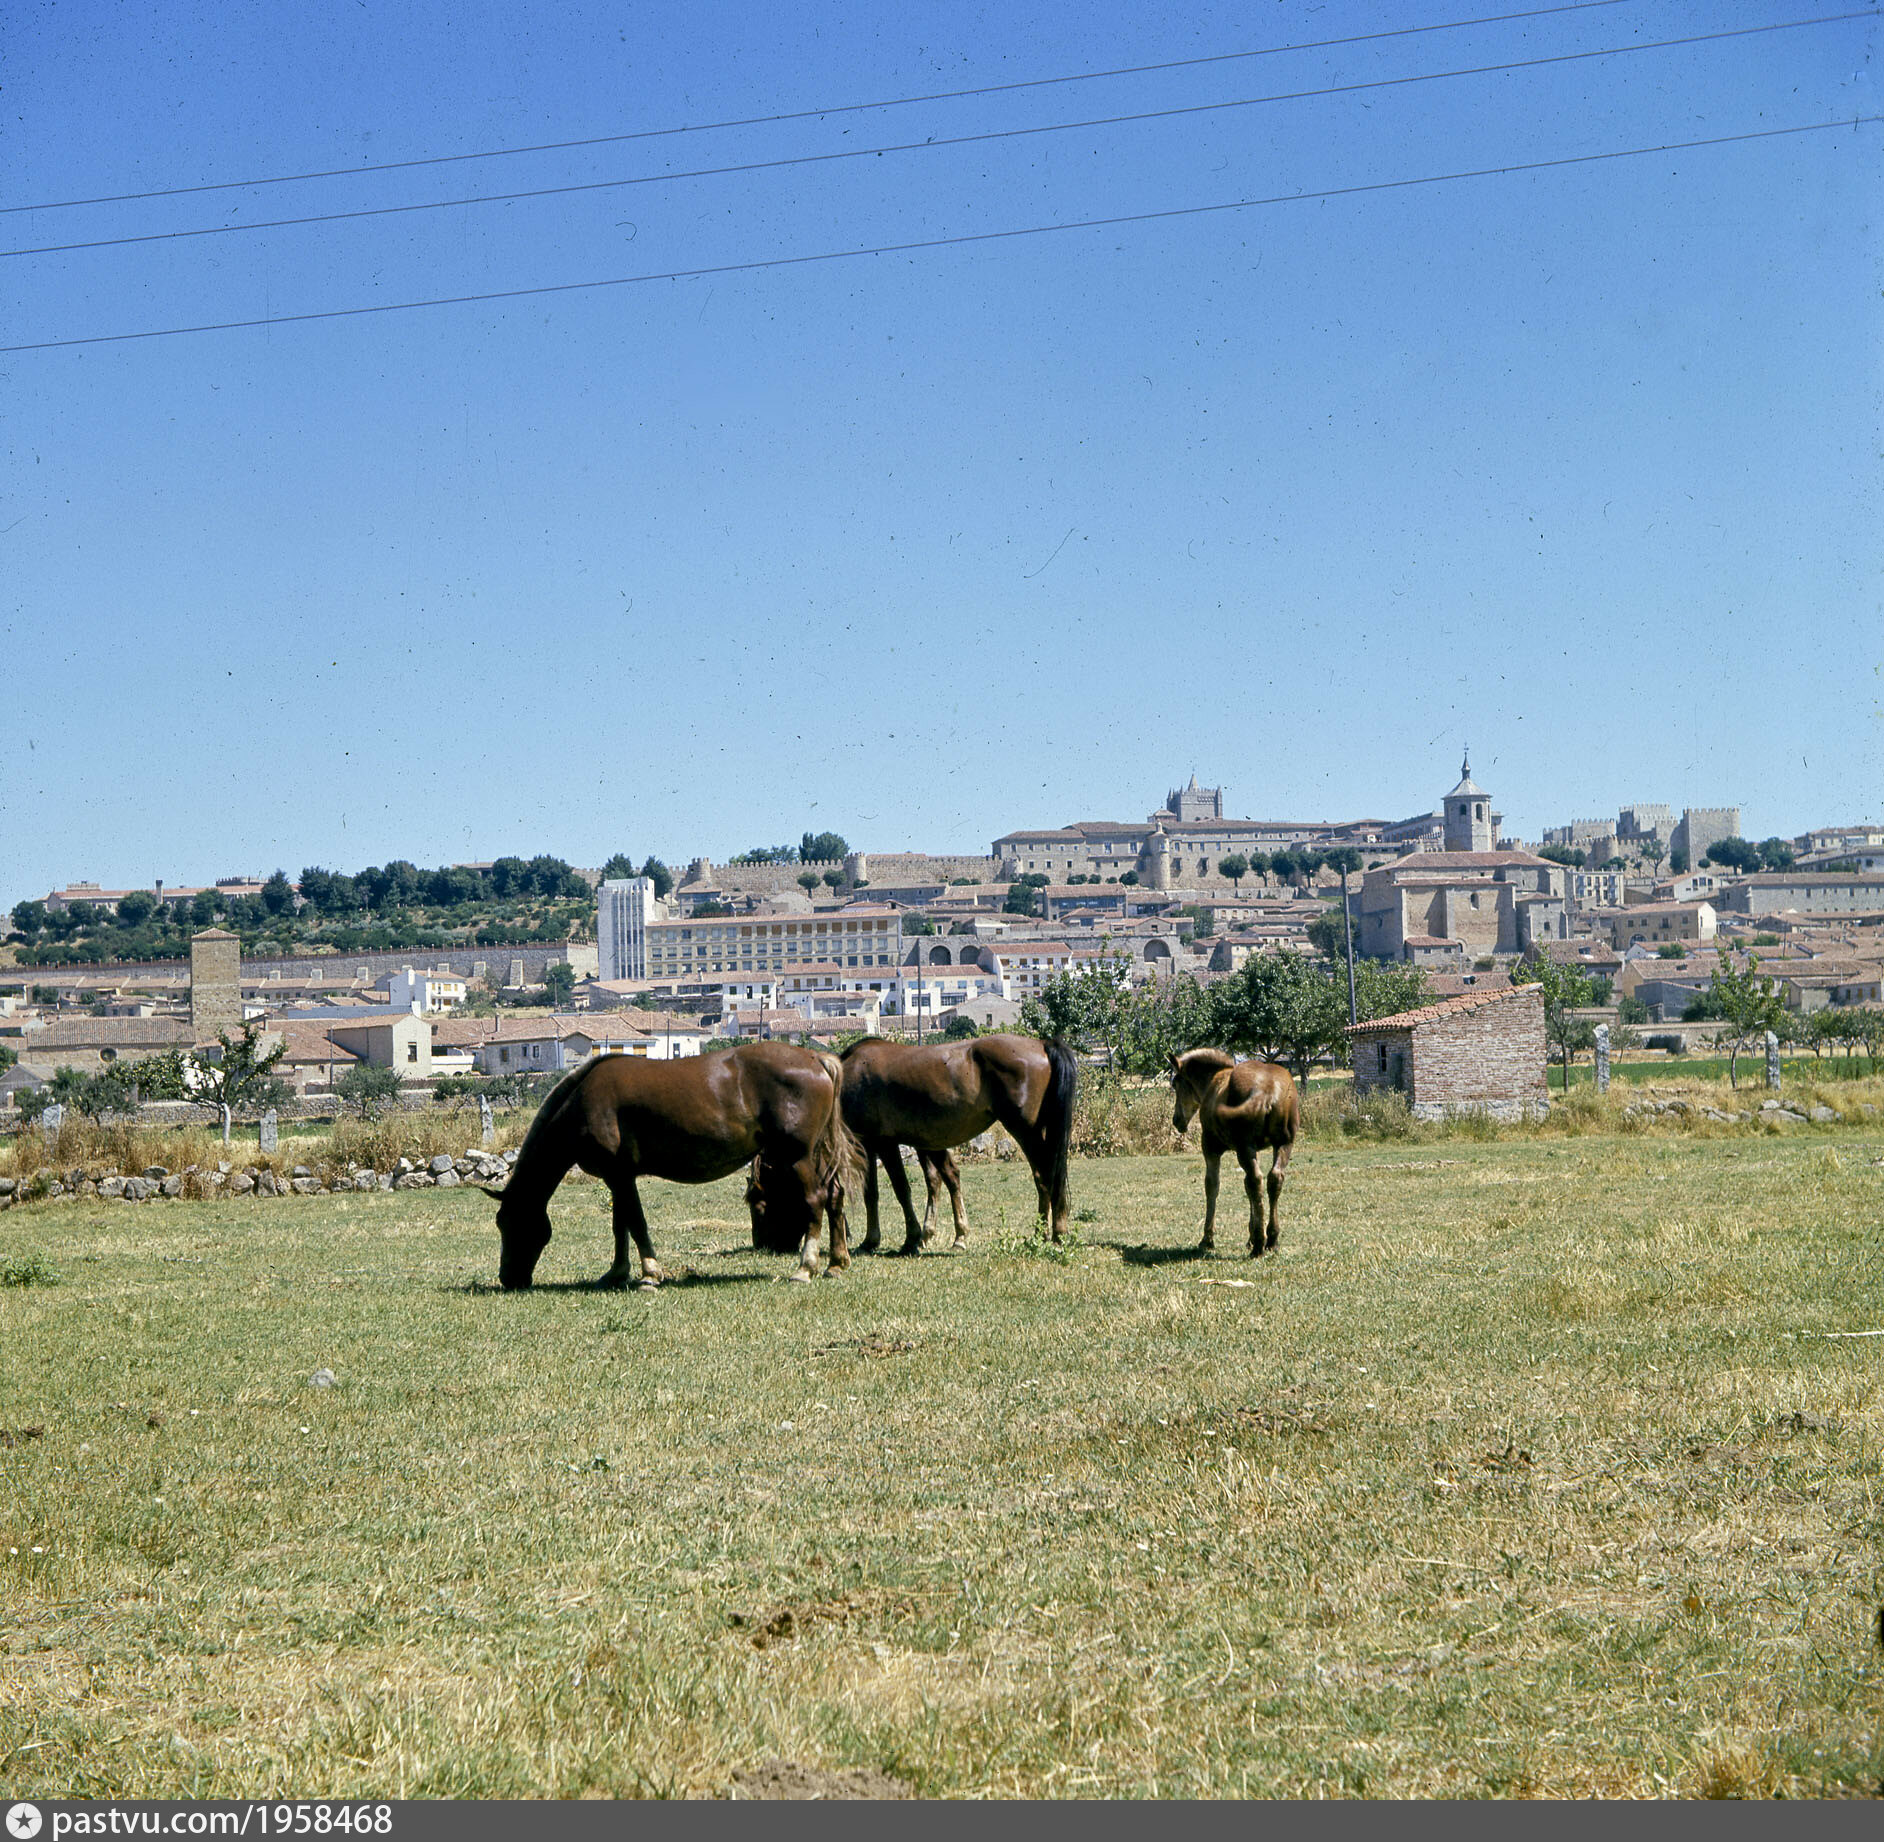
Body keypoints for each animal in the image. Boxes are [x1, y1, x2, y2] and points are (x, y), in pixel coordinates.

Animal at [488, 1041, 856, 1289]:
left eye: (509, 1223)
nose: (509, 1278)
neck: (583, 1103)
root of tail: (816, 1059)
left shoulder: (620, 1175)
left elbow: (634, 1223)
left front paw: (650, 1274)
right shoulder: (617, 1178)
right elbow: (621, 1224)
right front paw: (616, 1272)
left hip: (797, 1157)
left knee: (814, 1201)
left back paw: (805, 1268)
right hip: (818, 1156)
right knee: (835, 1197)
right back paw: (837, 1263)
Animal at [836, 1034, 1077, 1254]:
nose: (845, 1234)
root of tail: (1042, 1044)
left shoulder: (880, 1143)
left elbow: (895, 1190)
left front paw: (893, 1240)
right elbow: (878, 1192)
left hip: (1026, 1132)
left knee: (1046, 1177)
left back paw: (1051, 1235)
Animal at [1168, 1047, 1299, 1257]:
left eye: (1175, 1083)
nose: (1176, 1120)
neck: (1214, 1081)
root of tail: (1267, 1090)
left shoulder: (1210, 1147)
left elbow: (1212, 1185)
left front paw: (1207, 1239)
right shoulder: (1257, 1149)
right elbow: (1247, 1187)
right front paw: (1250, 1236)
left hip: (1244, 1146)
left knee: (1255, 1180)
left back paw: (1260, 1244)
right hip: (1283, 1143)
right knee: (1272, 1179)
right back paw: (1271, 1239)